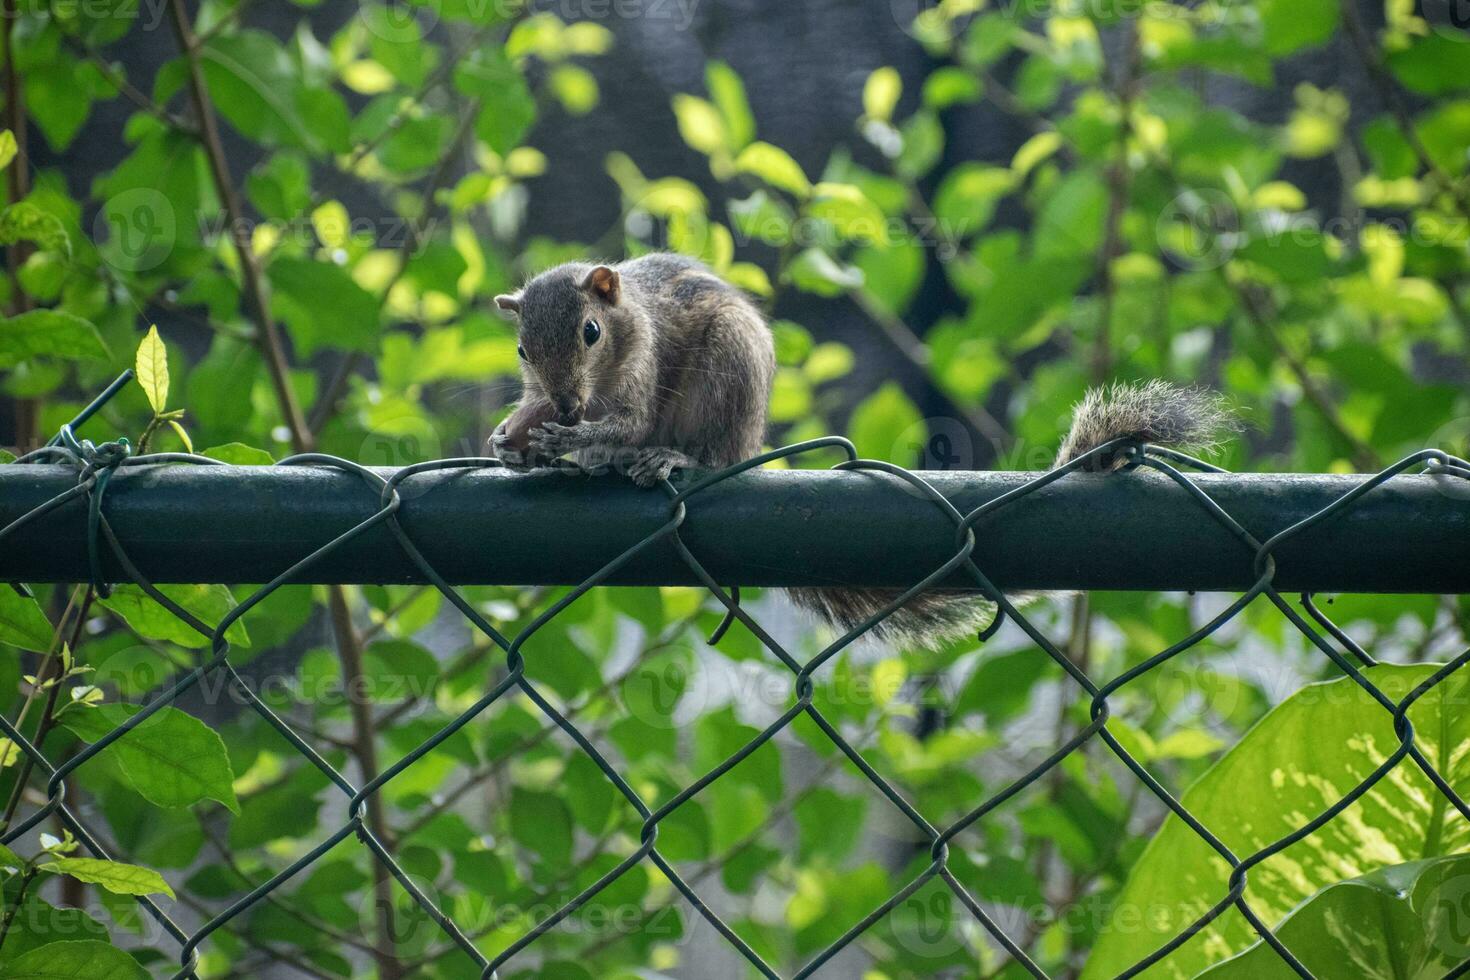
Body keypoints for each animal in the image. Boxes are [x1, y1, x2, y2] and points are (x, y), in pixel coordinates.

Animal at [490, 252, 1228, 652]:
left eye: (591, 332)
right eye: (521, 349)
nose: (564, 405)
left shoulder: (643, 367)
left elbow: (628, 423)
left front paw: (577, 441)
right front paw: (512, 438)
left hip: (727, 376)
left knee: (712, 456)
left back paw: (669, 460)